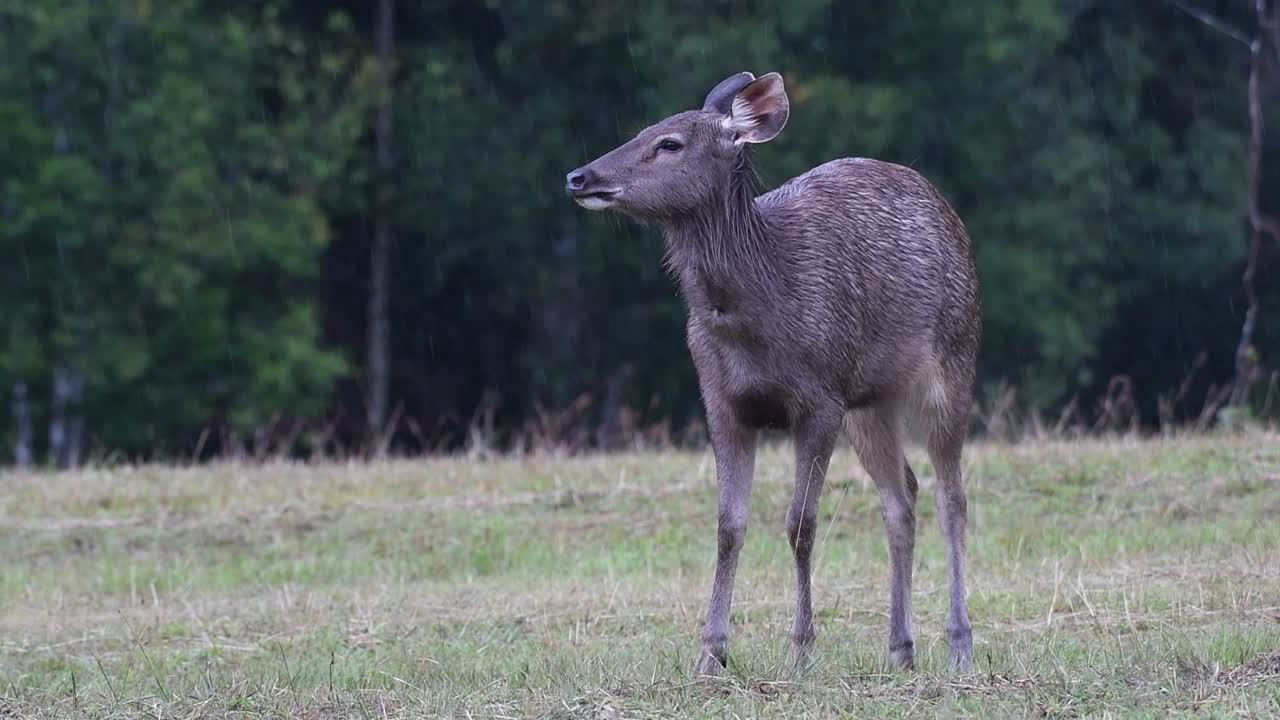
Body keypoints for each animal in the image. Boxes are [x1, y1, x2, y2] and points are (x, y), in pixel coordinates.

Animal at [564, 71, 980, 675]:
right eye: (641, 129)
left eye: (669, 143)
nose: (579, 176)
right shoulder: (722, 403)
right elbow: (728, 527)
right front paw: (711, 653)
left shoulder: (820, 398)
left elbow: (799, 524)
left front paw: (802, 648)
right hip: (870, 400)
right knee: (902, 496)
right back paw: (900, 649)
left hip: (954, 357)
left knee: (953, 498)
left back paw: (959, 645)